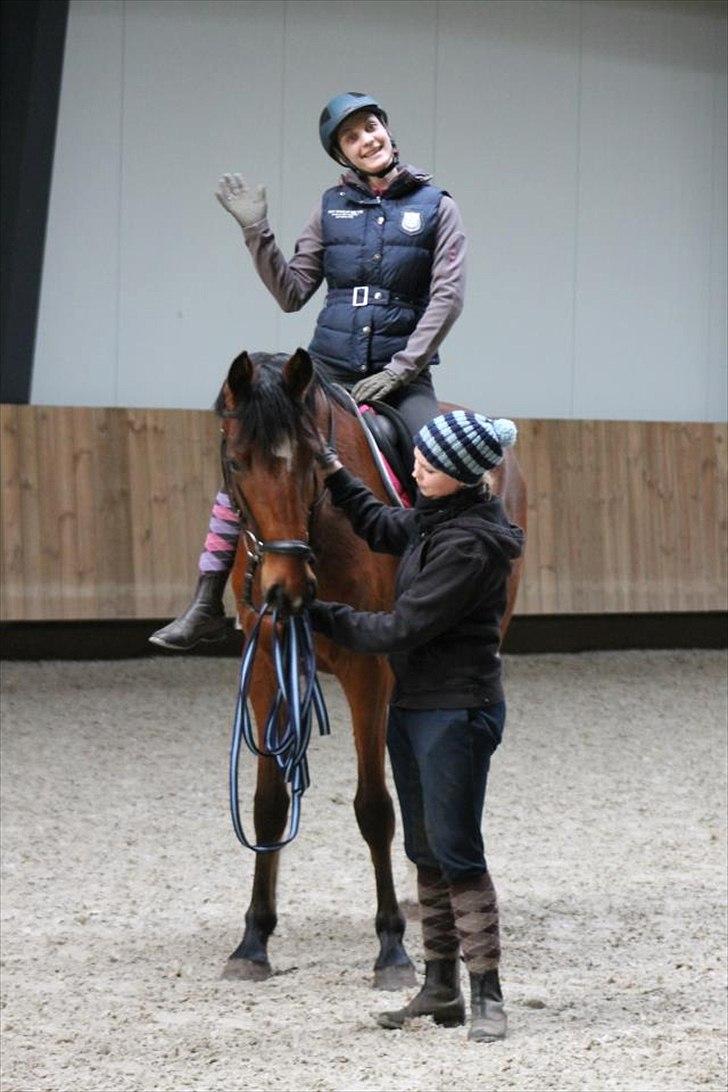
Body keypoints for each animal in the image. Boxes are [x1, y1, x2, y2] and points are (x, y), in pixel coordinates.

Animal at [215, 349, 523, 991]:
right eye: (234, 462)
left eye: (311, 460)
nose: (284, 587)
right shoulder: (265, 663)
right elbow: (268, 805)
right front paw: (254, 940)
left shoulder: (370, 672)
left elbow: (375, 808)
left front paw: (392, 949)